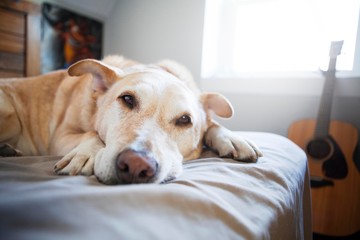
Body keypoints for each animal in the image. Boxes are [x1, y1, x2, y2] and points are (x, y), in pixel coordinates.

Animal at [0, 55, 260, 185]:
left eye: (185, 120)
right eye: (127, 99)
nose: (136, 165)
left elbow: (213, 125)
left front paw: (232, 138)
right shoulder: (60, 135)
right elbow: (90, 133)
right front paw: (86, 153)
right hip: (11, 116)